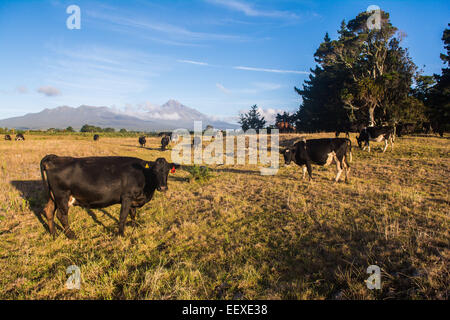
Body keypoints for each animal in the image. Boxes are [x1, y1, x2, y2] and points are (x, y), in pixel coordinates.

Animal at [39, 155, 178, 238]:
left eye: (167, 171)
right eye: (154, 171)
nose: (163, 188)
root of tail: (53, 158)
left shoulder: (134, 199)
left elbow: (133, 214)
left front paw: (134, 226)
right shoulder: (127, 197)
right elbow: (123, 216)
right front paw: (121, 234)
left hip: (53, 197)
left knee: (48, 211)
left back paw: (54, 234)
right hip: (62, 196)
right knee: (61, 215)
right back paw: (72, 235)